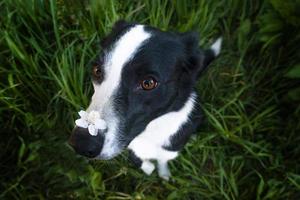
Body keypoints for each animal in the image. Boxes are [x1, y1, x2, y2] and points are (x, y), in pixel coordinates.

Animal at [69, 20, 221, 180]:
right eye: (97, 70)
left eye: (148, 83)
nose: (81, 144)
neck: (150, 133)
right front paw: (148, 168)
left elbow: (163, 160)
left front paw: (163, 173)